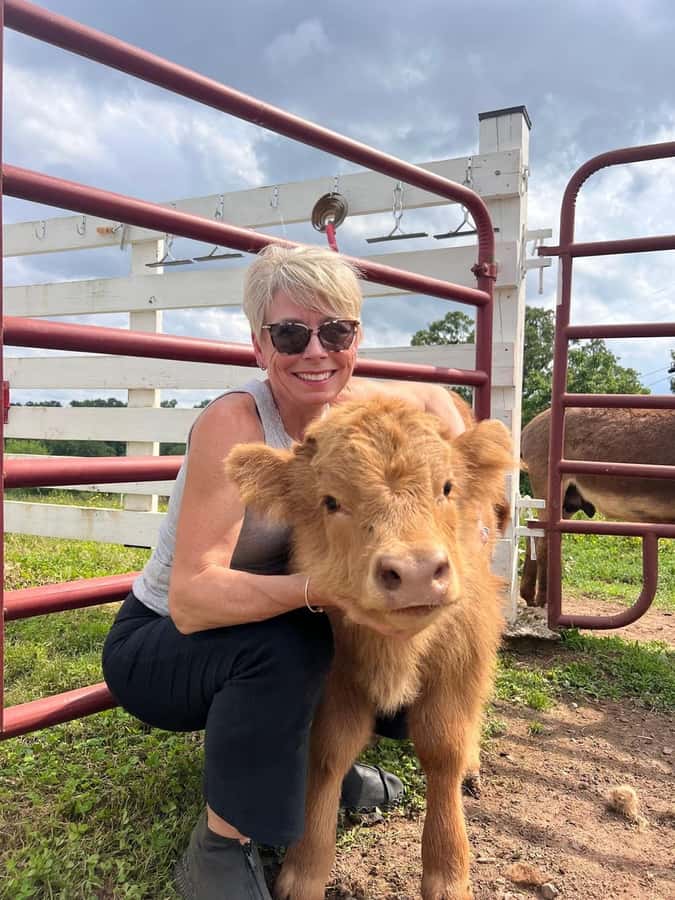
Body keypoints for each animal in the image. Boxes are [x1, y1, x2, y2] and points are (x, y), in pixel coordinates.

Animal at [226, 396, 513, 900]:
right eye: (331, 501)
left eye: (447, 487)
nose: (417, 571)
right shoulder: (337, 676)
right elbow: (329, 752)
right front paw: (304, 870)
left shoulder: (462, 656)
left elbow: (444, 750)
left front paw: (448, 873)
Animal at [520, 406, 675, 608]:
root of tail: (530, 426)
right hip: (548, 488)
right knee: (543, 540)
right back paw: (542, 600)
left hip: (567, 503)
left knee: (534, 533)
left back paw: (529, 596)